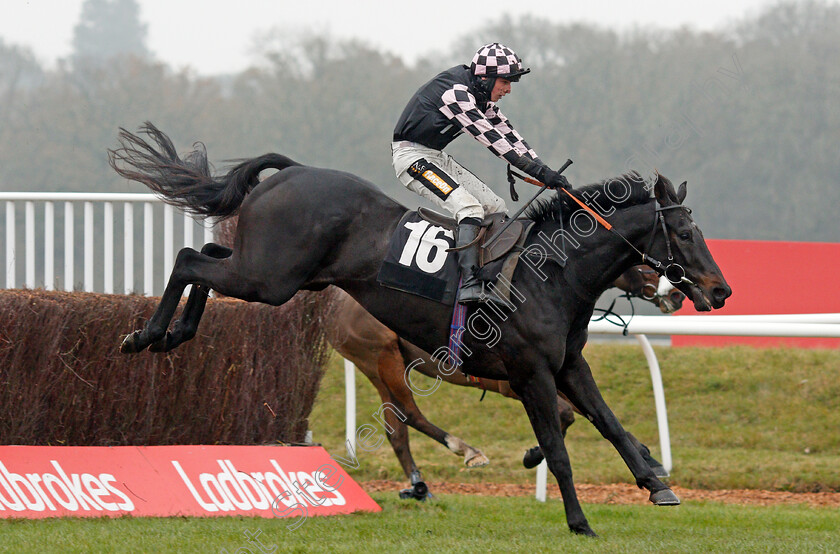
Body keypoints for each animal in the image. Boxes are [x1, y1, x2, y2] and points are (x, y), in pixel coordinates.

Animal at [324, 264, 680, 496]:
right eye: (645, 262)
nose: (676, 294)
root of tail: (335, 304)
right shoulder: (518, 384)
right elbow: (565, 415)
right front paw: (533, 454)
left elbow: (597, 417)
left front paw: (651, 460)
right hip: (380, 357)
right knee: (409, 413)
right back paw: (467, 452)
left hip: (383, 364)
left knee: (395, 427)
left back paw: (418, 484)